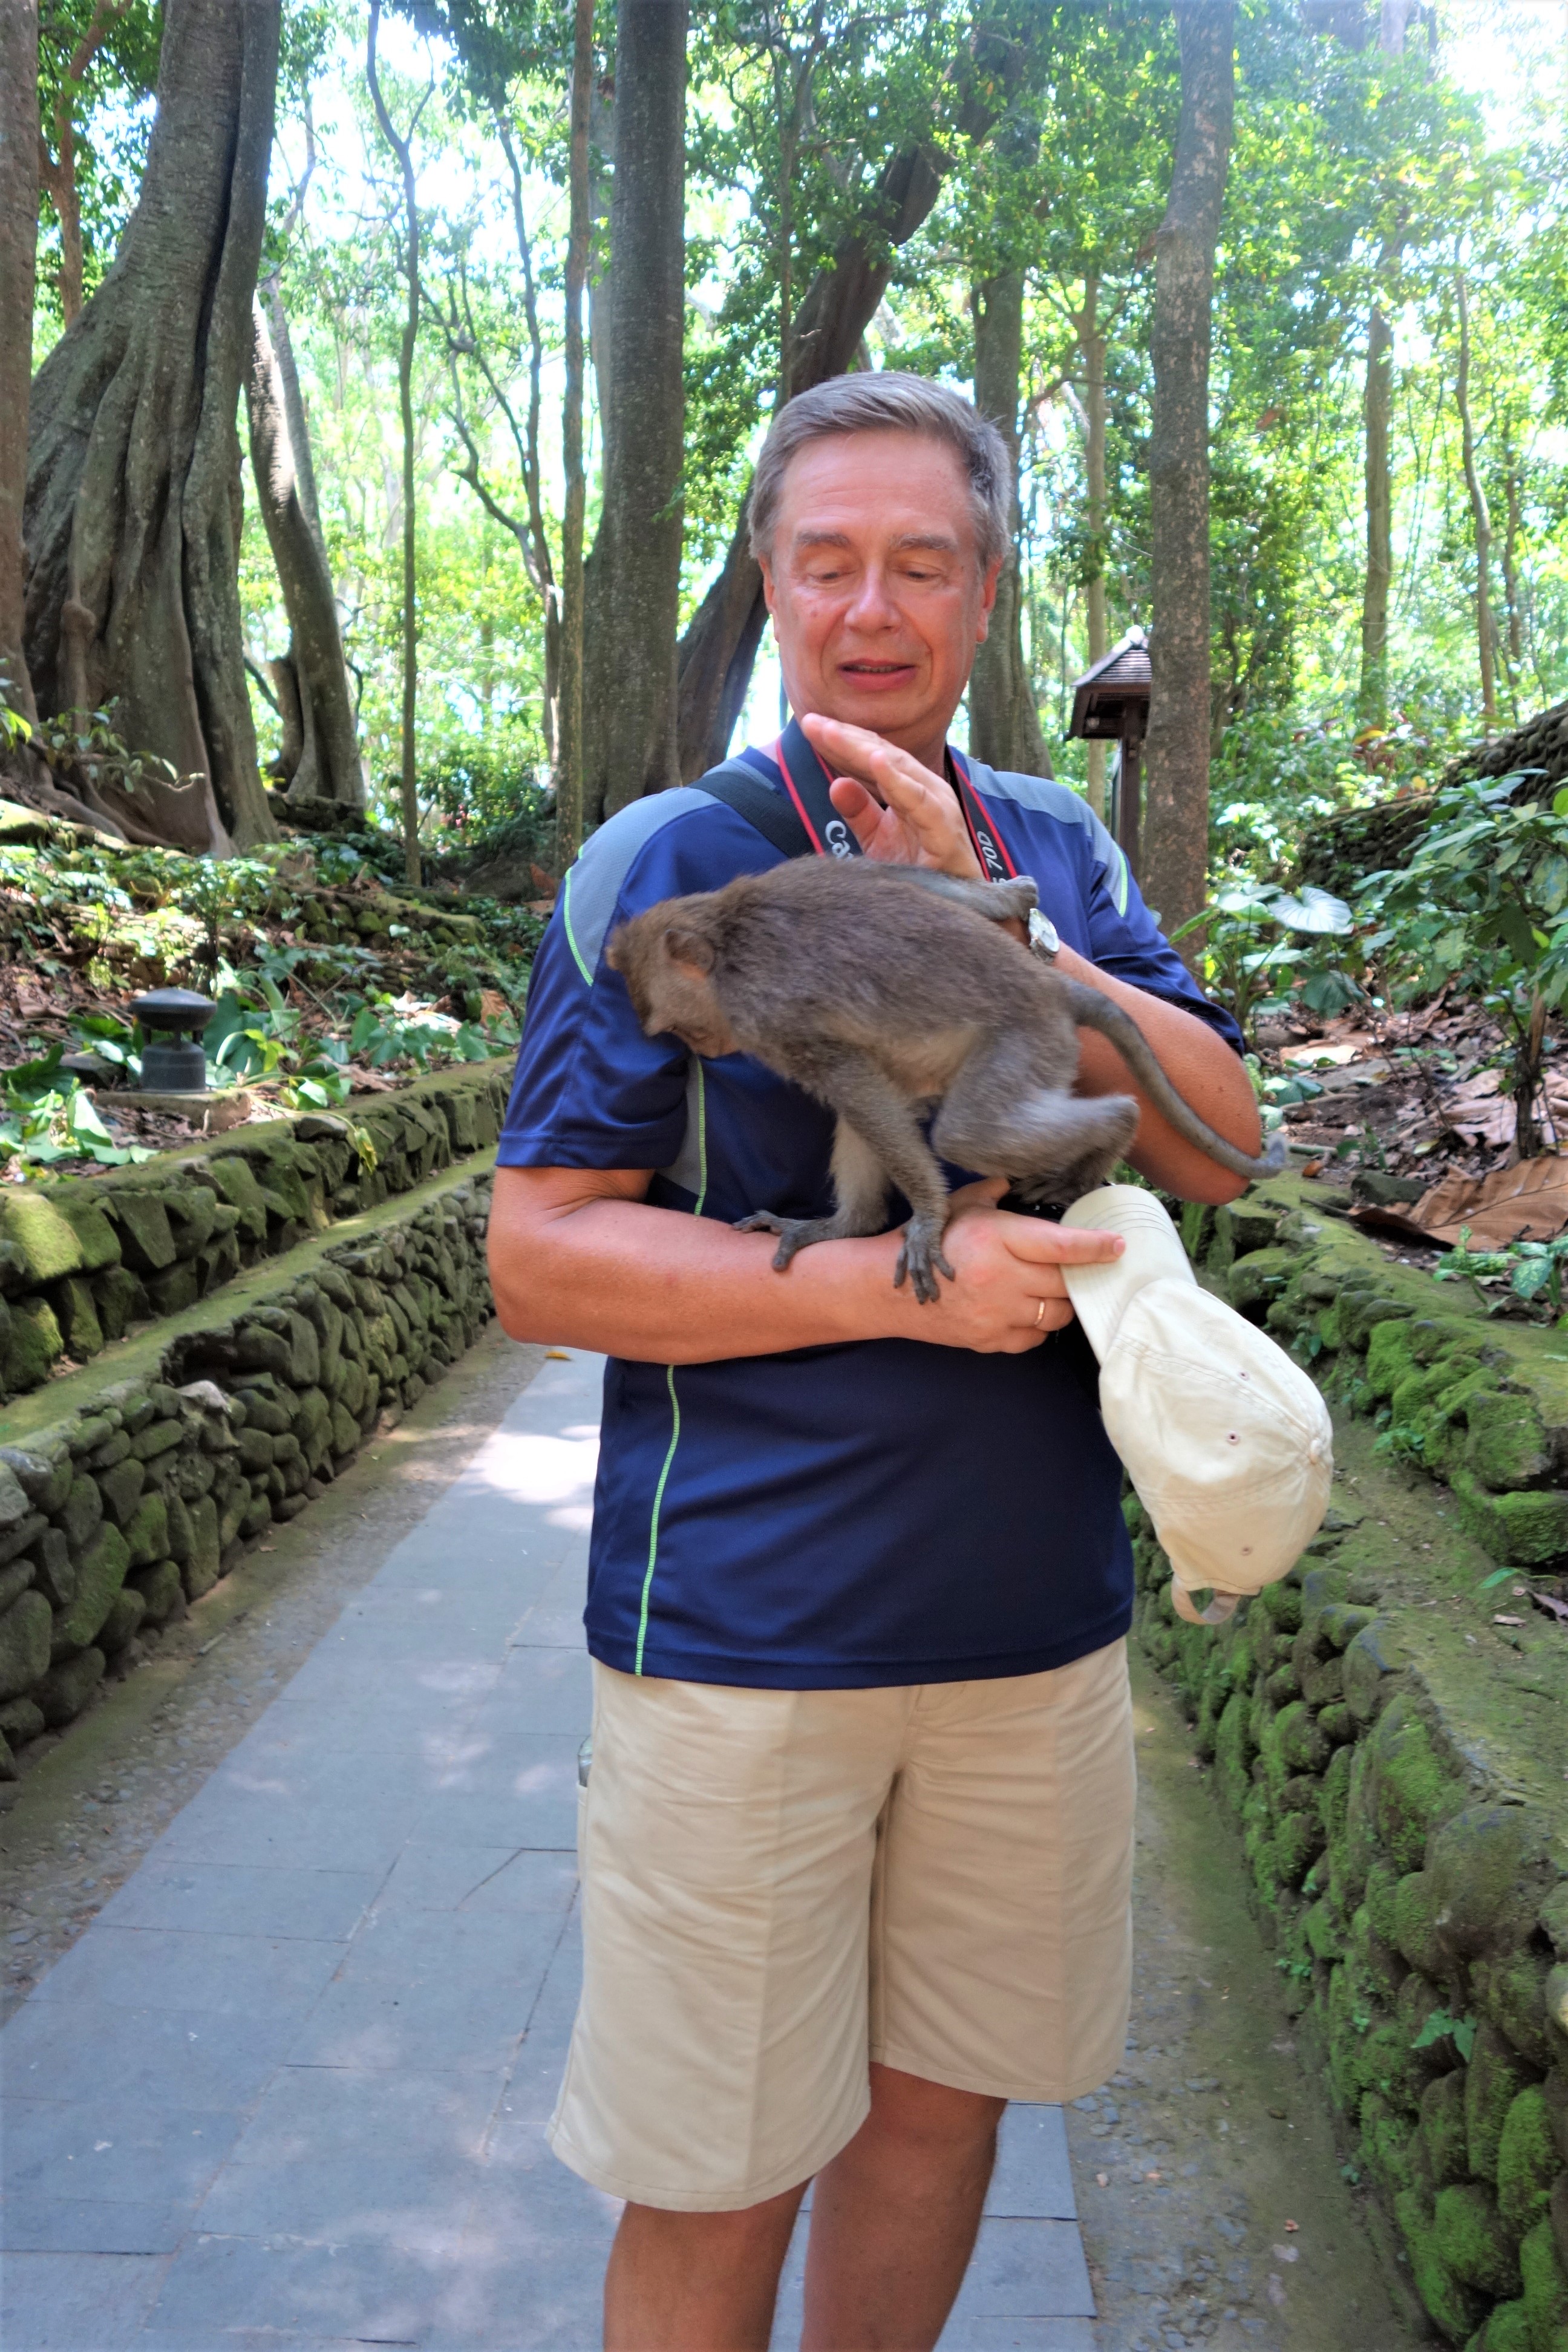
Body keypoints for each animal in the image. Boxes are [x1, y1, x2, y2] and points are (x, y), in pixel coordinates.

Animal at [605, 859, 1283, 1304]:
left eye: (682, 1030)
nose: (702, 1048)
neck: (729, 932)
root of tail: (1051, 989)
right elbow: (899, 880)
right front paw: (1009, 897)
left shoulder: (767, 1017)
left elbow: (848, 1079)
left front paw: (929, 1217)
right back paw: (849, 1226)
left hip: (1028, 1041)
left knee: (965, 1134)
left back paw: (1114, 1127)